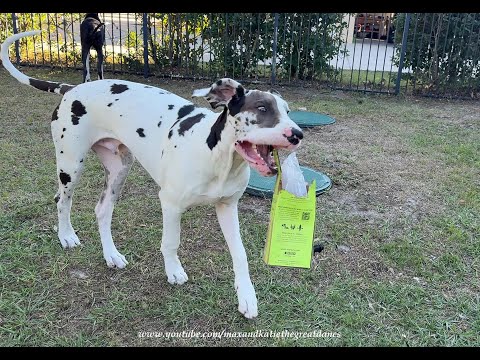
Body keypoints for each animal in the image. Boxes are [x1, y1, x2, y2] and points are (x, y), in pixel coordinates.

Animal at [1, 31, 304, 318]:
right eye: (262, 108)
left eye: (288, 111)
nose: (298, 134)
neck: (217, 157)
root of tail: (73, 88)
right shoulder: (170, 204)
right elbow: (171, 242)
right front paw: (173, 270)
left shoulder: (228, 207)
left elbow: (240, 254)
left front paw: (247, 296)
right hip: (71, 164)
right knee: (62, 201)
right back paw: (66, 235)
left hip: (119, 169)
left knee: (102, 210)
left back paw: (111, 255)